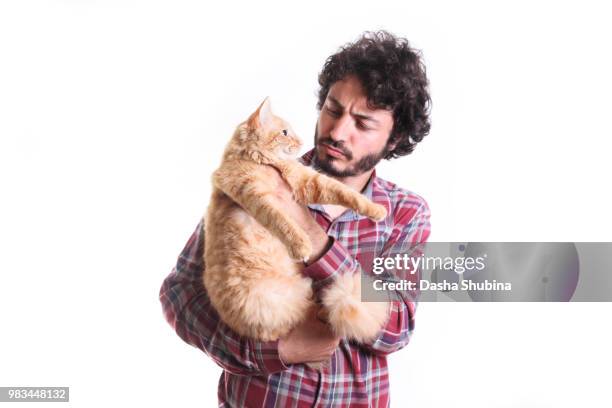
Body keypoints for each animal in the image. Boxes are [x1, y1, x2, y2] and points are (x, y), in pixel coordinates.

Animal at [203, 97, 390, 352]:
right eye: (284, 132)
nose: (300, 141)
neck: (259, 160)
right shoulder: (256, 197)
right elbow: (282, 221)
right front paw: (301, 245)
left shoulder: (306, 180)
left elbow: (343, 191)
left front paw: (375, 209)